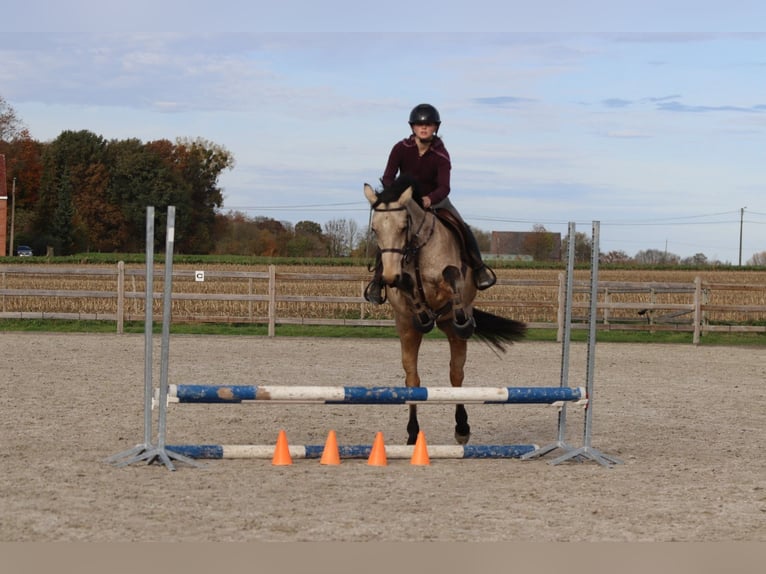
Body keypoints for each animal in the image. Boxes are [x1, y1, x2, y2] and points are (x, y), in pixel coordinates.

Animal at [364, 175, 527, 445]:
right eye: (375, 229)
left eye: (403, 227)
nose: (388, 276)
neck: (416, 249)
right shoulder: (405, 296)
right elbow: (408, 286)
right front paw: (417, 303)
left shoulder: (449, 279)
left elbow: (451, 275)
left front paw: (462, 315)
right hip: (406, 330)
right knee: (412, 378)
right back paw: (413, 433)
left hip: (451, 329)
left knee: (456, 374)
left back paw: (462, 427)